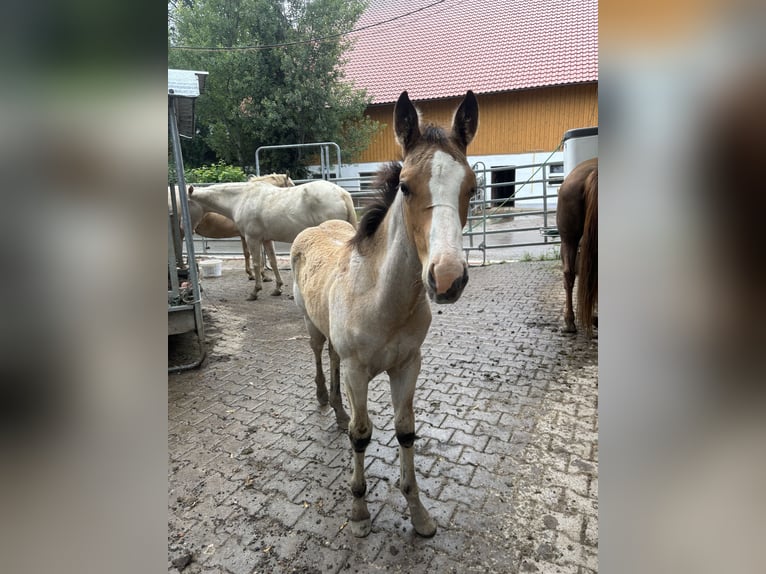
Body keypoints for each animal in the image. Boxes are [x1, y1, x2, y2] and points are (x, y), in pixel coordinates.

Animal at [188, 180, 358, 300]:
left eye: (187, 203)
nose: (187, 227)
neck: (241, 198)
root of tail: (342, 194)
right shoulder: (266, 240)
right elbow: (273, 261)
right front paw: (278, 288)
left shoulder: (252, 239)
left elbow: (257, 263)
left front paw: (255, 291)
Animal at [292, 91, 480, 540]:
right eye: (406, 187)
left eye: (473, 187)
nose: (447, 278)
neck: (383, 299)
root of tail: (313, 228)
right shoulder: (359, 372)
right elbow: (363, 435)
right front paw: (359, 512)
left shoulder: (408, 365)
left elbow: (405, 432)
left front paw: (419, 514)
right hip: (312, 327)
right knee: (319, 356)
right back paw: (325, 399)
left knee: (332, 359)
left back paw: (338, 410)